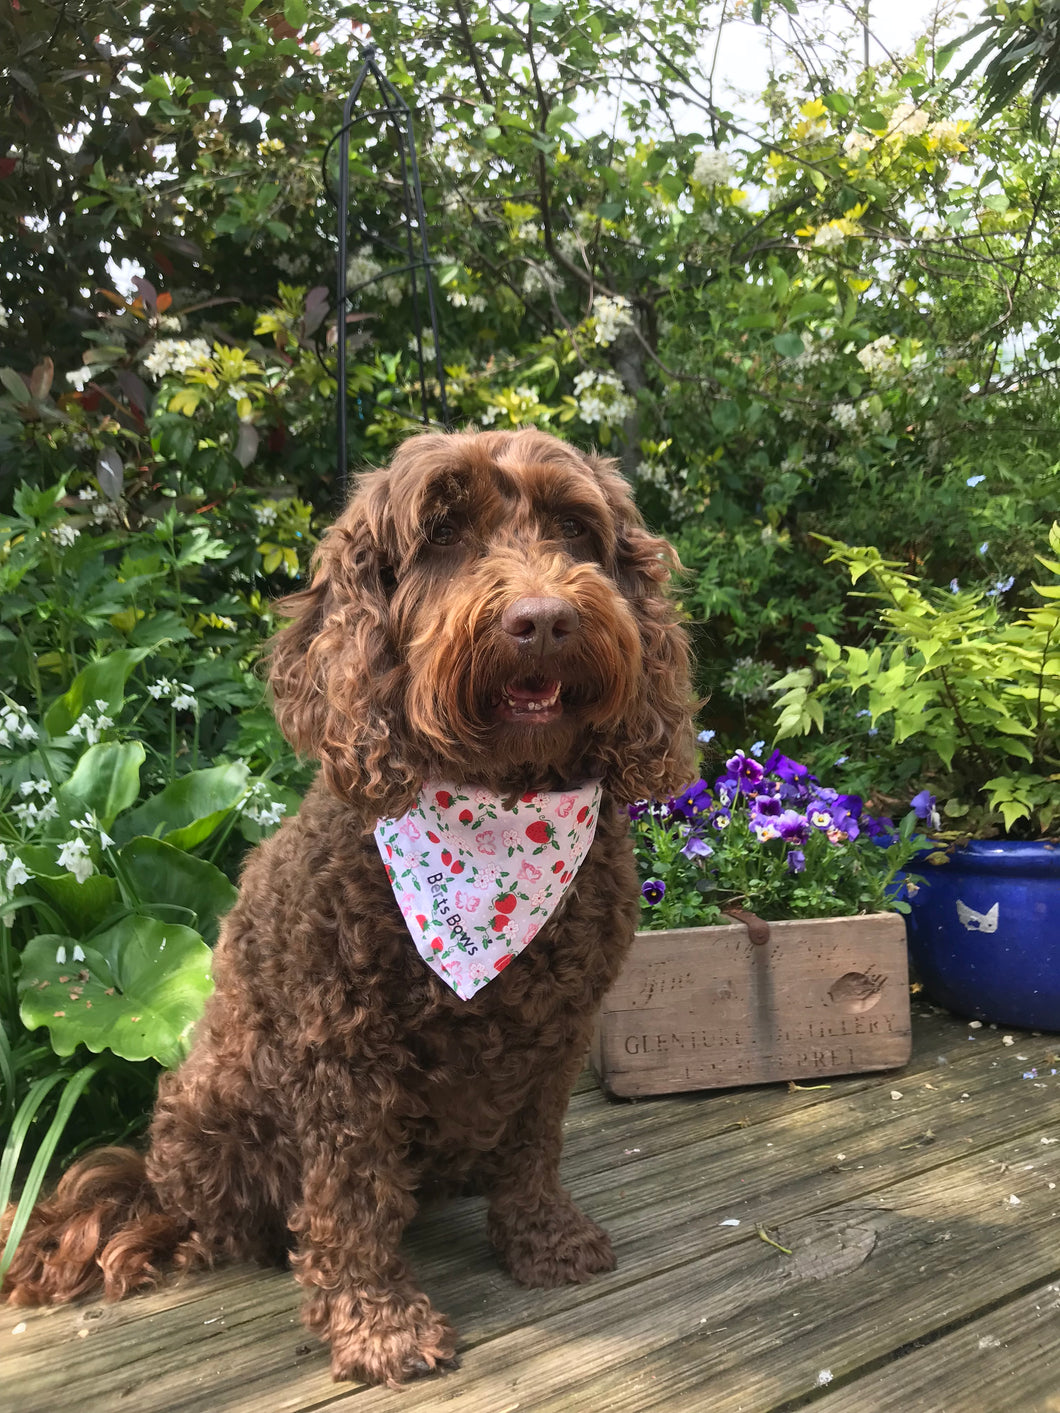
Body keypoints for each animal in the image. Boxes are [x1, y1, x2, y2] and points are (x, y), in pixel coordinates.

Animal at [4, 423, 698, 1384]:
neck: (498, 807)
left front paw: (544, 1239)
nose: (544, 620)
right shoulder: (342, 1050)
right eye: (441, 531)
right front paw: (379, 1323)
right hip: (216, 1095)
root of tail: (150, 1172)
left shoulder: (558, 1029)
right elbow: (351, 1194)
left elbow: (534, 1146)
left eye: (573, 526)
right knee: (216, 1218)